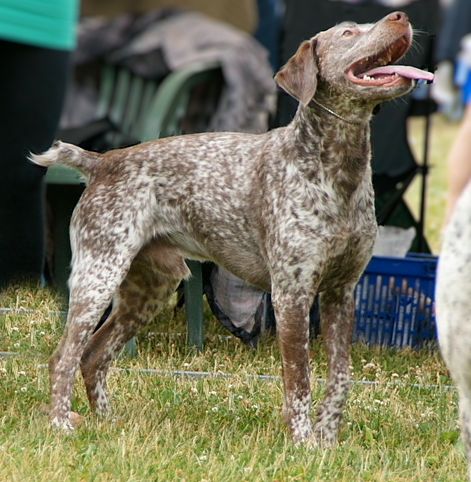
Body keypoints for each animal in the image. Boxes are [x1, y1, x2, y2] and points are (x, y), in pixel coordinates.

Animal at [31, 11, 434, 444]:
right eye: (347, 33)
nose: (401, 16)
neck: (340, 167)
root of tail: (101, 162)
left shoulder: (341, 293)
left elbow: (340, 377)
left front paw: (327, 441)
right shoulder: (291, 295)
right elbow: (300, 380)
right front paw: (303, 441)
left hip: (150, 288)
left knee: (94, 355)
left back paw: (107, 423)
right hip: (99, 276)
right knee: (64, 356)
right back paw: (60, 424)